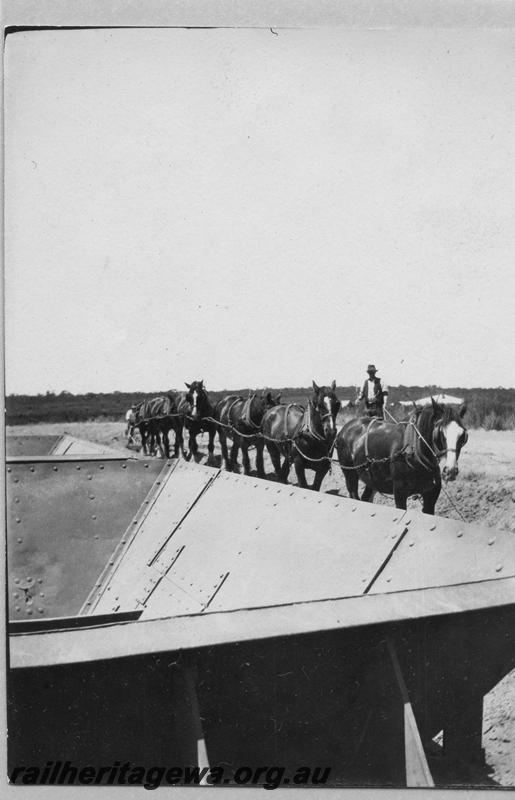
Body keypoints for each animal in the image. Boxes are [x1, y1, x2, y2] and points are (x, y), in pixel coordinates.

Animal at [336, 398, 470, 512]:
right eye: (441, 432)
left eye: (463, 435)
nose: (450, 471)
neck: (414, 453)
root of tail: (346, 427)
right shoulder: (400, 493)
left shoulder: (431, 496)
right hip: (350, 474)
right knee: (353, 493)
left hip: (372, 480)